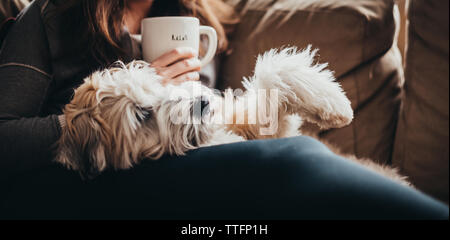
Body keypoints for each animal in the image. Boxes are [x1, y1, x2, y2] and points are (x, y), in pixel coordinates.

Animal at [54, 46, 410, 186]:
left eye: (156, 83)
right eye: (142, 115)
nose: (201, 102)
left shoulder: (263, 122)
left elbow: (276, 72)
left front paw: (335, 107)